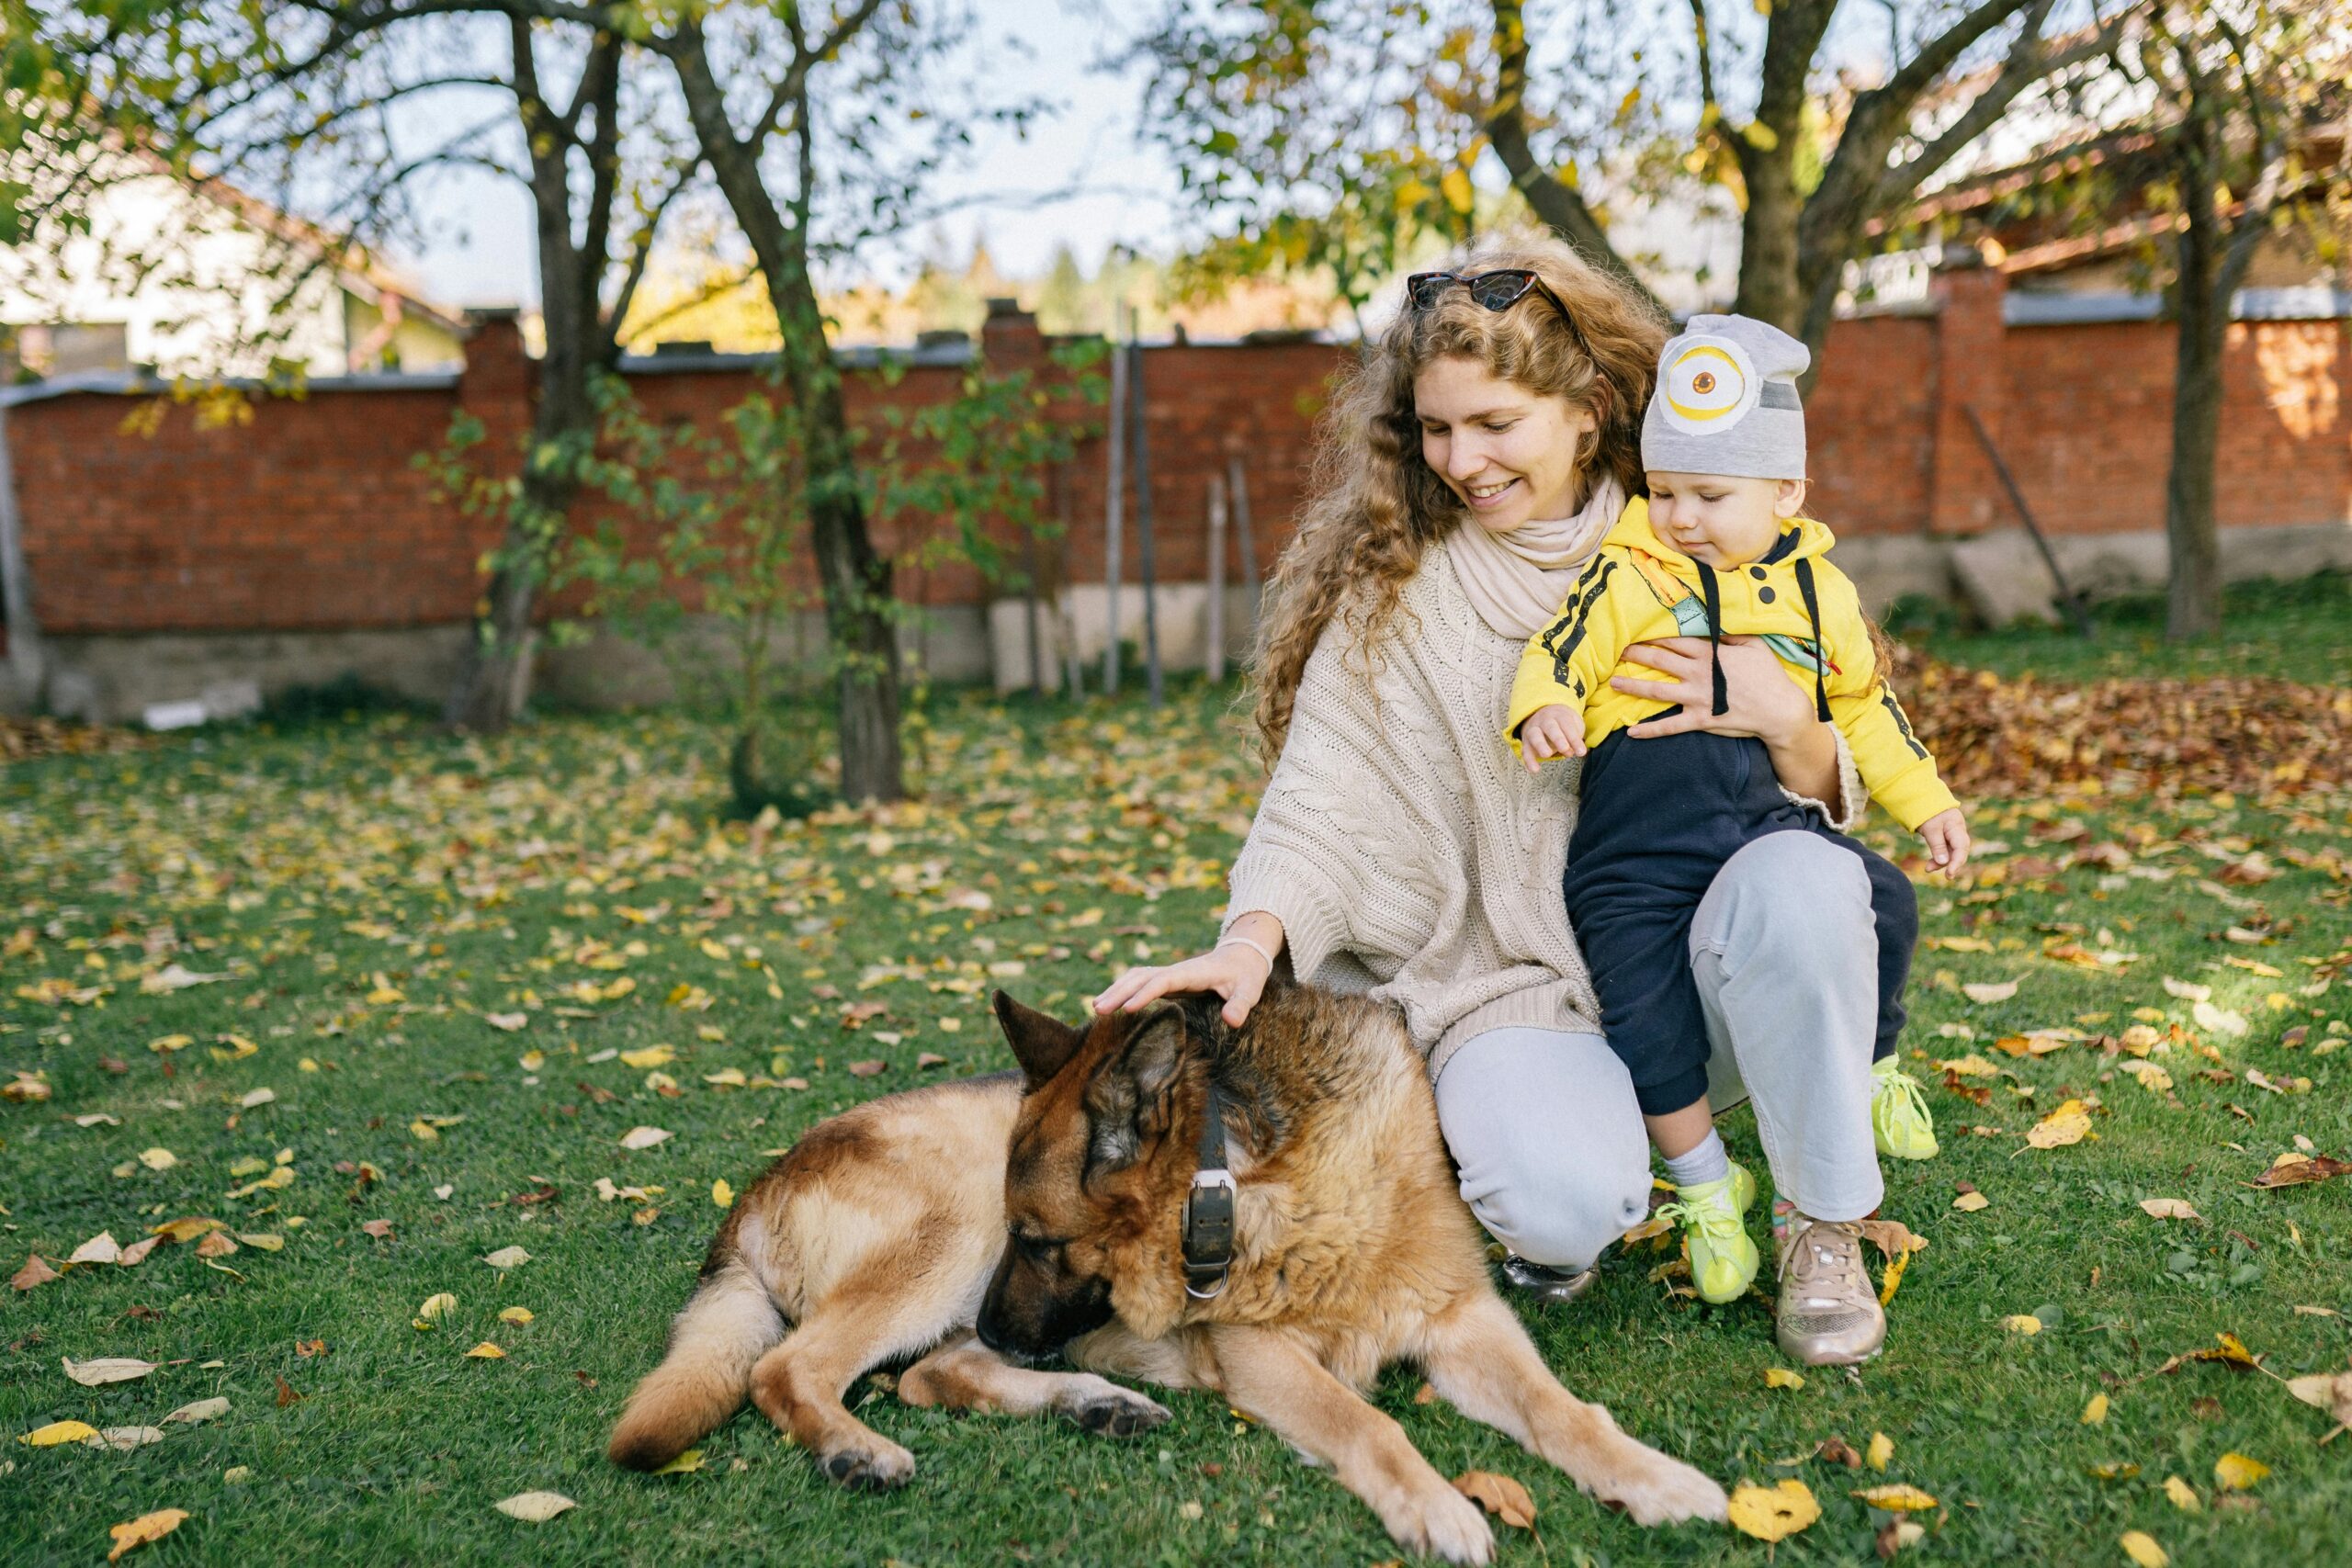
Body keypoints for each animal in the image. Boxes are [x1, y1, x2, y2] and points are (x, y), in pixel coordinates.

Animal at [606, 982, 1731, 1561]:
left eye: (1041, 1240)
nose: (1008, 1325)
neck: (1267, 1180)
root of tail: (757, 1189)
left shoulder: (1465, 1322)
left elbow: (1563, 1411)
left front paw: (1652, 1478)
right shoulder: (1260, 1355)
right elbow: (1368, 1423)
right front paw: (1437, 1503)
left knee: (933, 1372)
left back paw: (1090, 1402)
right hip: (948, 1229)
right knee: (790, 1369)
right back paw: (857, 1447)